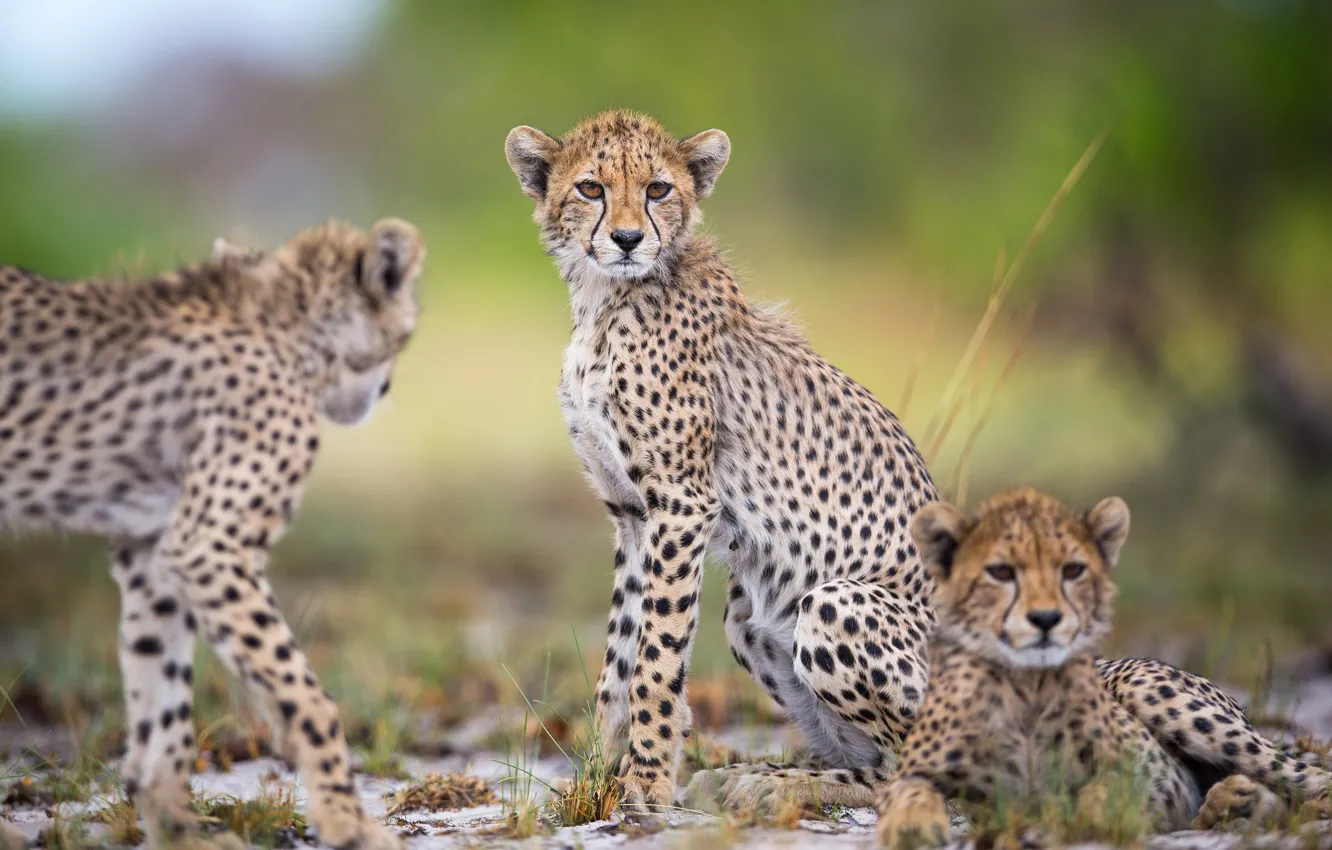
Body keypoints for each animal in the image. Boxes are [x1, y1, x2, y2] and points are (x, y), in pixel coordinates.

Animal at [0, 217, 424, 850]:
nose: (387, 388)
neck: (290, 326)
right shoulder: (209, 547)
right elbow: (305, 693)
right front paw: (347, 821)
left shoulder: (152, 551)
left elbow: (162, 695)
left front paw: (177, 828)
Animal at [875, 487, 1331, 848]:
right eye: (1000, 571)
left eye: (1073, 570)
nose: (1046, 619)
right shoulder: (924, 775)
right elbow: (909, 795)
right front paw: (911, 827)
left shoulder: (1129, 768)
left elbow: (1105, 793)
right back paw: (1233, 802)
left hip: (1155, 694)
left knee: (1307, 775)